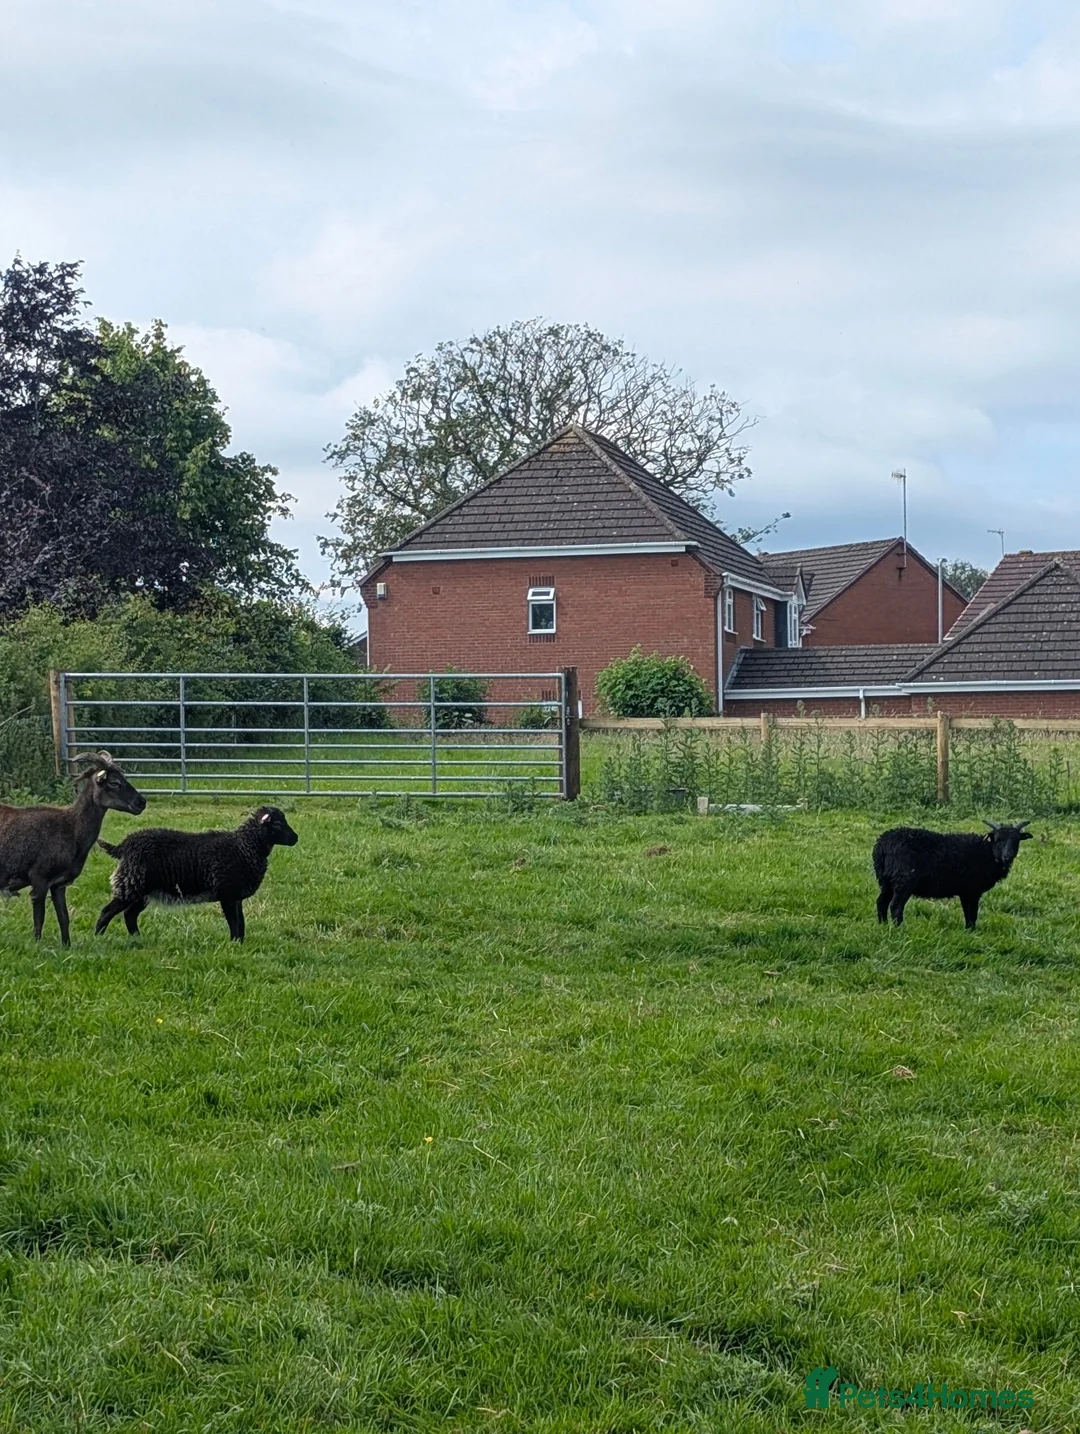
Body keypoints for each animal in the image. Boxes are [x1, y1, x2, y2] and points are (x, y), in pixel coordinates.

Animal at [0, 751, 147, 945]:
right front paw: (37, 944)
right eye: (114, 782)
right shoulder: (39, 877)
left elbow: (64, 917)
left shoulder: (59, 883)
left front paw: (66, 945)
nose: (141, 803)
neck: (72, 828)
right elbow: (39, 918)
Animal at [94, 805, 299, 942]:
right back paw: (99, 936)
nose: (296, 838)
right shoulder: (227, 894)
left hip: (142, 890)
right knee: (108, 911)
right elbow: (234, 922)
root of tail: (123, 846)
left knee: (130, 914)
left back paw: (137, 938)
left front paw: (241, 943)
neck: (244, 847)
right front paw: (235, 944)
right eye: (277, 823)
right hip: (131, 884)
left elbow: (241, 922)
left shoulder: (236, 897)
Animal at [872, 821, 1032, 930]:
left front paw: (968, 930)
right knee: (895, 906)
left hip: (886, 880)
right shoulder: (972, 890)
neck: (987, 852)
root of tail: (881, 845)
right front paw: (972, 931)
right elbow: (972, 912)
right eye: (998, 840)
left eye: (1017, 840)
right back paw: (900, 928)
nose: (1008, 856)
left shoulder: (965, 891)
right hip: (903, 880)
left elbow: (967, 912)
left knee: (881, 902)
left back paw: (883, 925)